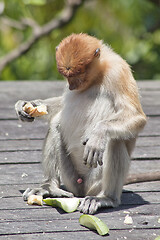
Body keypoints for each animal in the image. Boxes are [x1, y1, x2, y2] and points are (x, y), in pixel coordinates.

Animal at [15, 33, 146, 214]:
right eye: (66, 75)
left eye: (79, 74)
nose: (72, 86)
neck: (98, 75)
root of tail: (82, 188)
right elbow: (62, 106)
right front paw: (27, 106)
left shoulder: (119, 72)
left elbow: (136, 116)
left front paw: (98, 134)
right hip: (71, 178)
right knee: (56, 124)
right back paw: (49, 187)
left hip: (95, 182)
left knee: (115, 140)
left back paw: (106, 198)